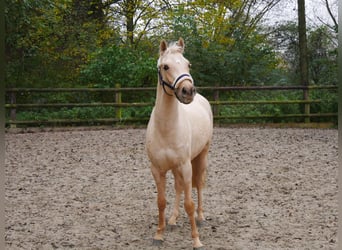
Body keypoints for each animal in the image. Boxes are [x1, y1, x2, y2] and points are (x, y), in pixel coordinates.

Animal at [146, 37, 212, 248]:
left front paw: (196, 240)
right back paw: (173, 220)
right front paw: (159, 234)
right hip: (176, 167)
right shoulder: (157, 169)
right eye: (165, 66)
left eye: (188, 64)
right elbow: (161, 202)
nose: (188, 91)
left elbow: (189, 203)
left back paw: (201, 217)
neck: (166, 128)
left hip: (202, 156)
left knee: (199, 184)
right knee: (178, 188)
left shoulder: (185, 166)